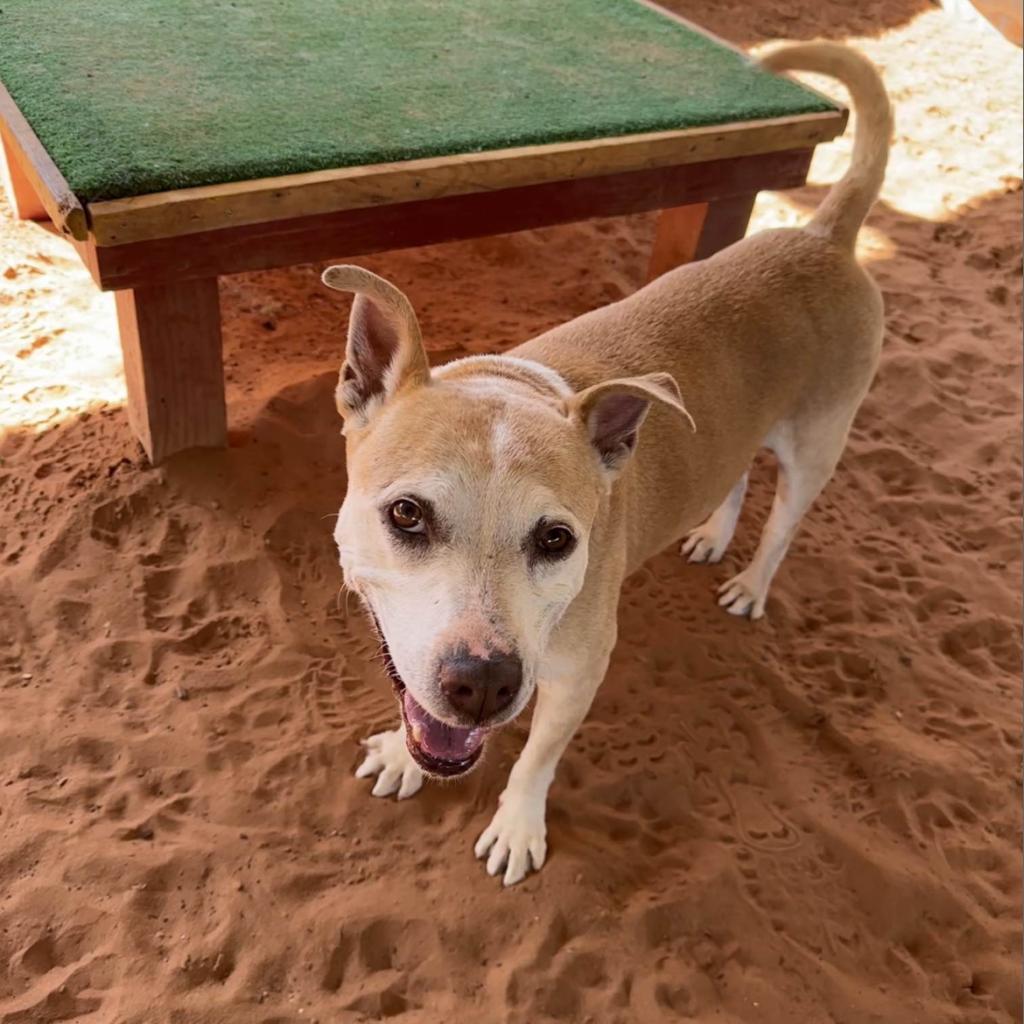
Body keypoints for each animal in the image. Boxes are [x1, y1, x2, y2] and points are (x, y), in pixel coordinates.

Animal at [321, 44, 888, 884]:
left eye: (557, 539)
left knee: (784, 522)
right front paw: (401, 752)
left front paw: (517, 827)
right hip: (738, 429)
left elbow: (535, 761)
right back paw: (712, 535)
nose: (482, 686)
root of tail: (822, 233)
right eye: (407, 515)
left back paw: (751, 583)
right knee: (735, 472)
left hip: (817, 444)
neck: (515, 383)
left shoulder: (577, 675)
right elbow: (414, 707)